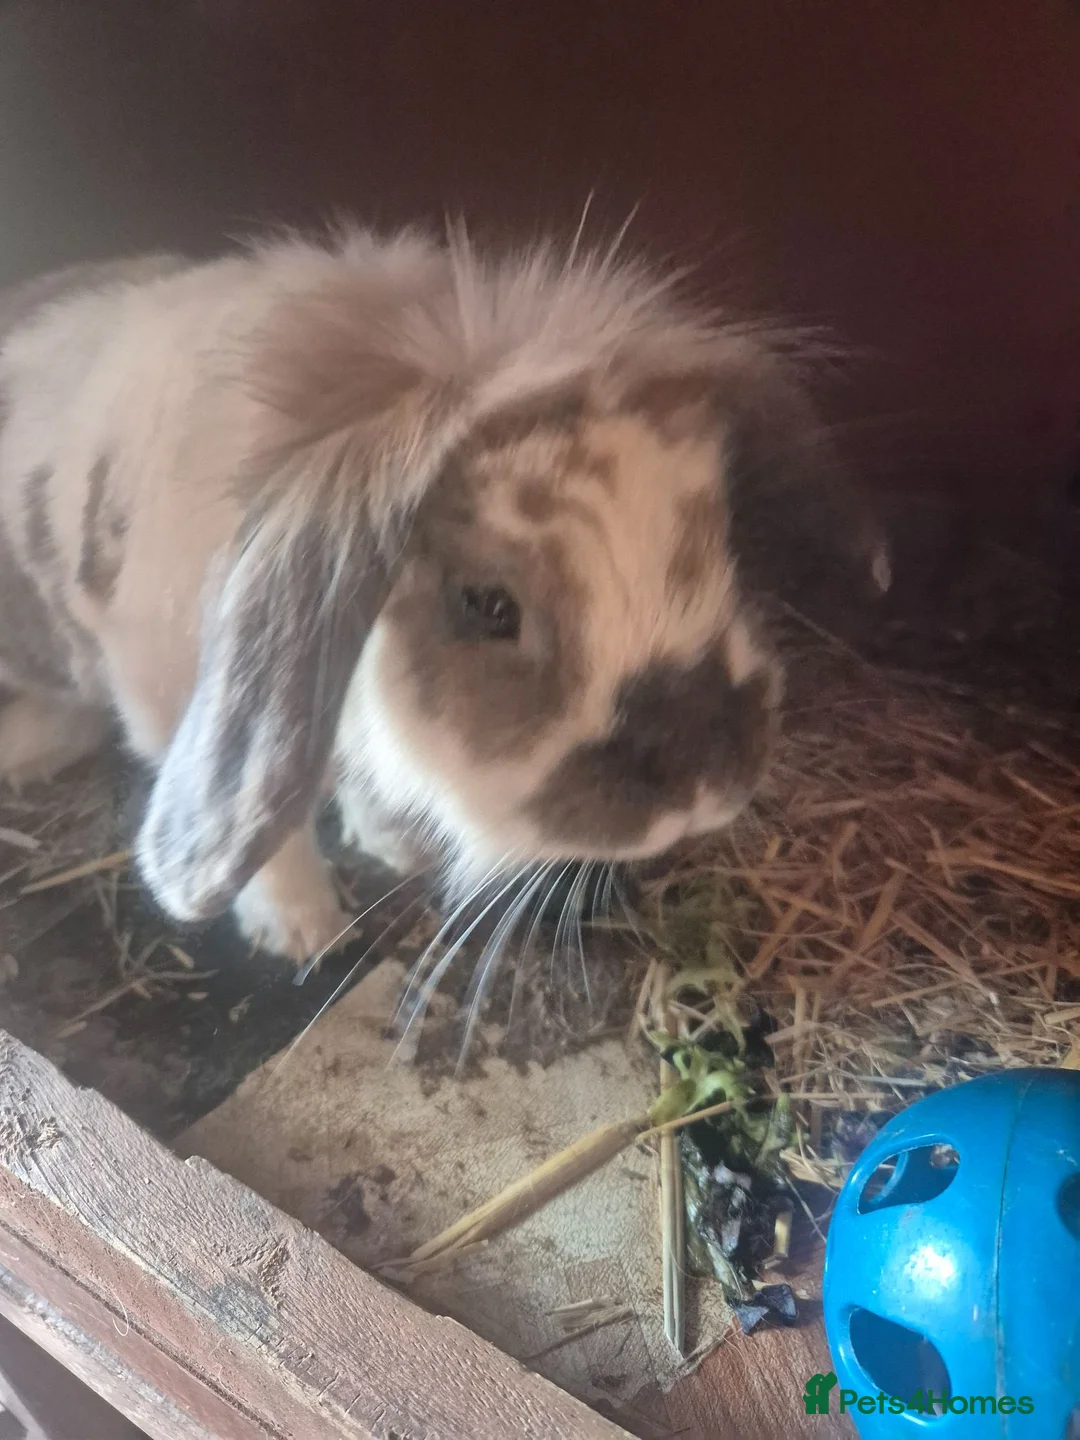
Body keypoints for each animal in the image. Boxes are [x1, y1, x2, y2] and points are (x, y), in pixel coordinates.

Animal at [0, 226, 889, 961]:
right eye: (487, 606)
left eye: (719, 540)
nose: (713, 788)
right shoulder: (169, 702)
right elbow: (276, 833)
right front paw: (305, 934)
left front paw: (398, 845)